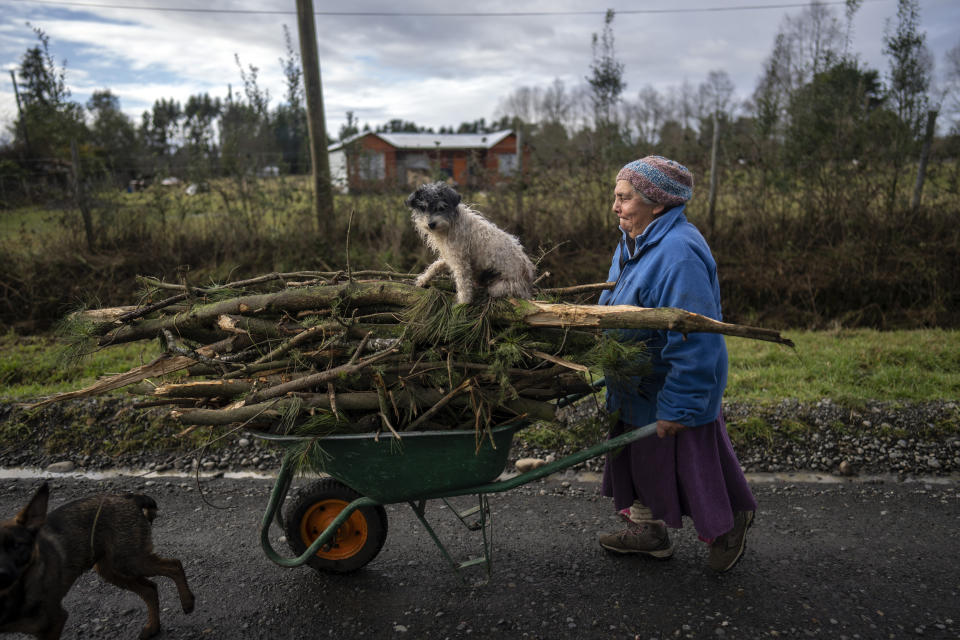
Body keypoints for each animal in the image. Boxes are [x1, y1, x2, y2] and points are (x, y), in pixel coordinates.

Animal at [0, 484, 195, 640]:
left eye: (17, 546)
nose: (3, 574)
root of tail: (128, 497)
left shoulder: (54, 622)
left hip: (129, 561)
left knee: (174, 565)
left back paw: (187, 602)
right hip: (111, 570)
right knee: (150, 589)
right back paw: (152, 627)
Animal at [404, 182, 536, 304]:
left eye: (441, 208)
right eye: (423, 208)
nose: (431, 224)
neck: (450, 225)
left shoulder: (460, 262)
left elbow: (463, 284)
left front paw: (463, 304)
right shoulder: (450, 256)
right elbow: (435, 265)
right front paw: (423, 279)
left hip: (498, 287)